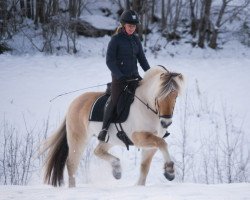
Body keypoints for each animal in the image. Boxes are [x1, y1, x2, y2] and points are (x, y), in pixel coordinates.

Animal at [40, 65, 183, 188]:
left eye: (175, 95)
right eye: (159, 95)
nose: (166, 122)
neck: (147, 107)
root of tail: (74, 103)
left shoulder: (150, 144)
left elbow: (145, 167)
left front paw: (141, 185)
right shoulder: (138, 137)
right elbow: (163, 144)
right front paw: (170, 171)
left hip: (110, 139)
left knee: (97, 151)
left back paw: (117, 169)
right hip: (78, 138)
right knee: (71, 164)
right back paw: (73, 188)